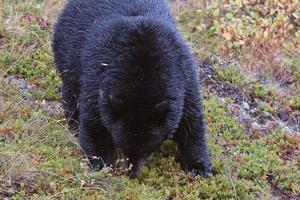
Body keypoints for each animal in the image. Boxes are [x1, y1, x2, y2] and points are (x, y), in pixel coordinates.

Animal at [52, 0, 212, 178]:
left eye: (148, 149)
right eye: (122, 145)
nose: (132, 173)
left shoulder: (183, 76)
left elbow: (191, 121)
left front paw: (198, 167)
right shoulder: (98, 77)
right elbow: (93, 123)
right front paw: (101, 164)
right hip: (68, 52)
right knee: (71, 92)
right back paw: (73, 125)